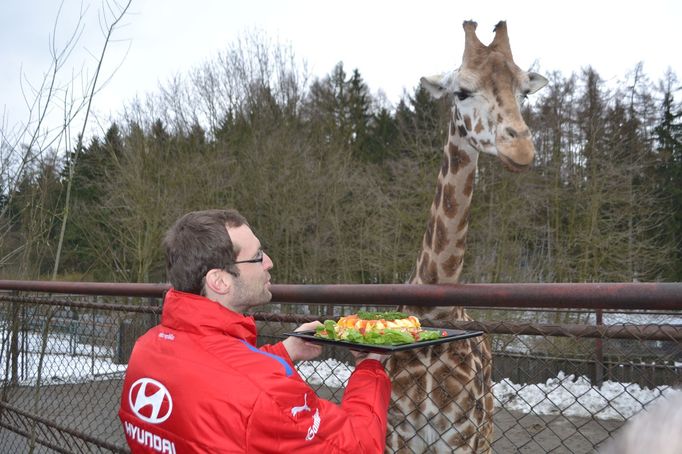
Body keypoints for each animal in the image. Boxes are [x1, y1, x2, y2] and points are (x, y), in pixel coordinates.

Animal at [382, 19, 548, 452]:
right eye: (462, 91)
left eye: (524, 91)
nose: (520, 148)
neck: (435, 312)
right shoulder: (397, 431)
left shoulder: (460, 435)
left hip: (485, 430)